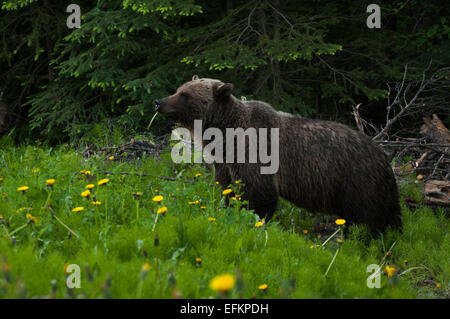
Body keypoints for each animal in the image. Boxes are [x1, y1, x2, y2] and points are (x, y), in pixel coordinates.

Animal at [156, 75, 402, 235]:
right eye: (179, 89)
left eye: (184, 94)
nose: (159, 102)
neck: (225, 133)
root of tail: (383, 155)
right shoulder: (225, 161)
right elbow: (227, 187)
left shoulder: (256, 153)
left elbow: (259, 194)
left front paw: (256, 219)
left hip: (355, 179)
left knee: (368, 217)